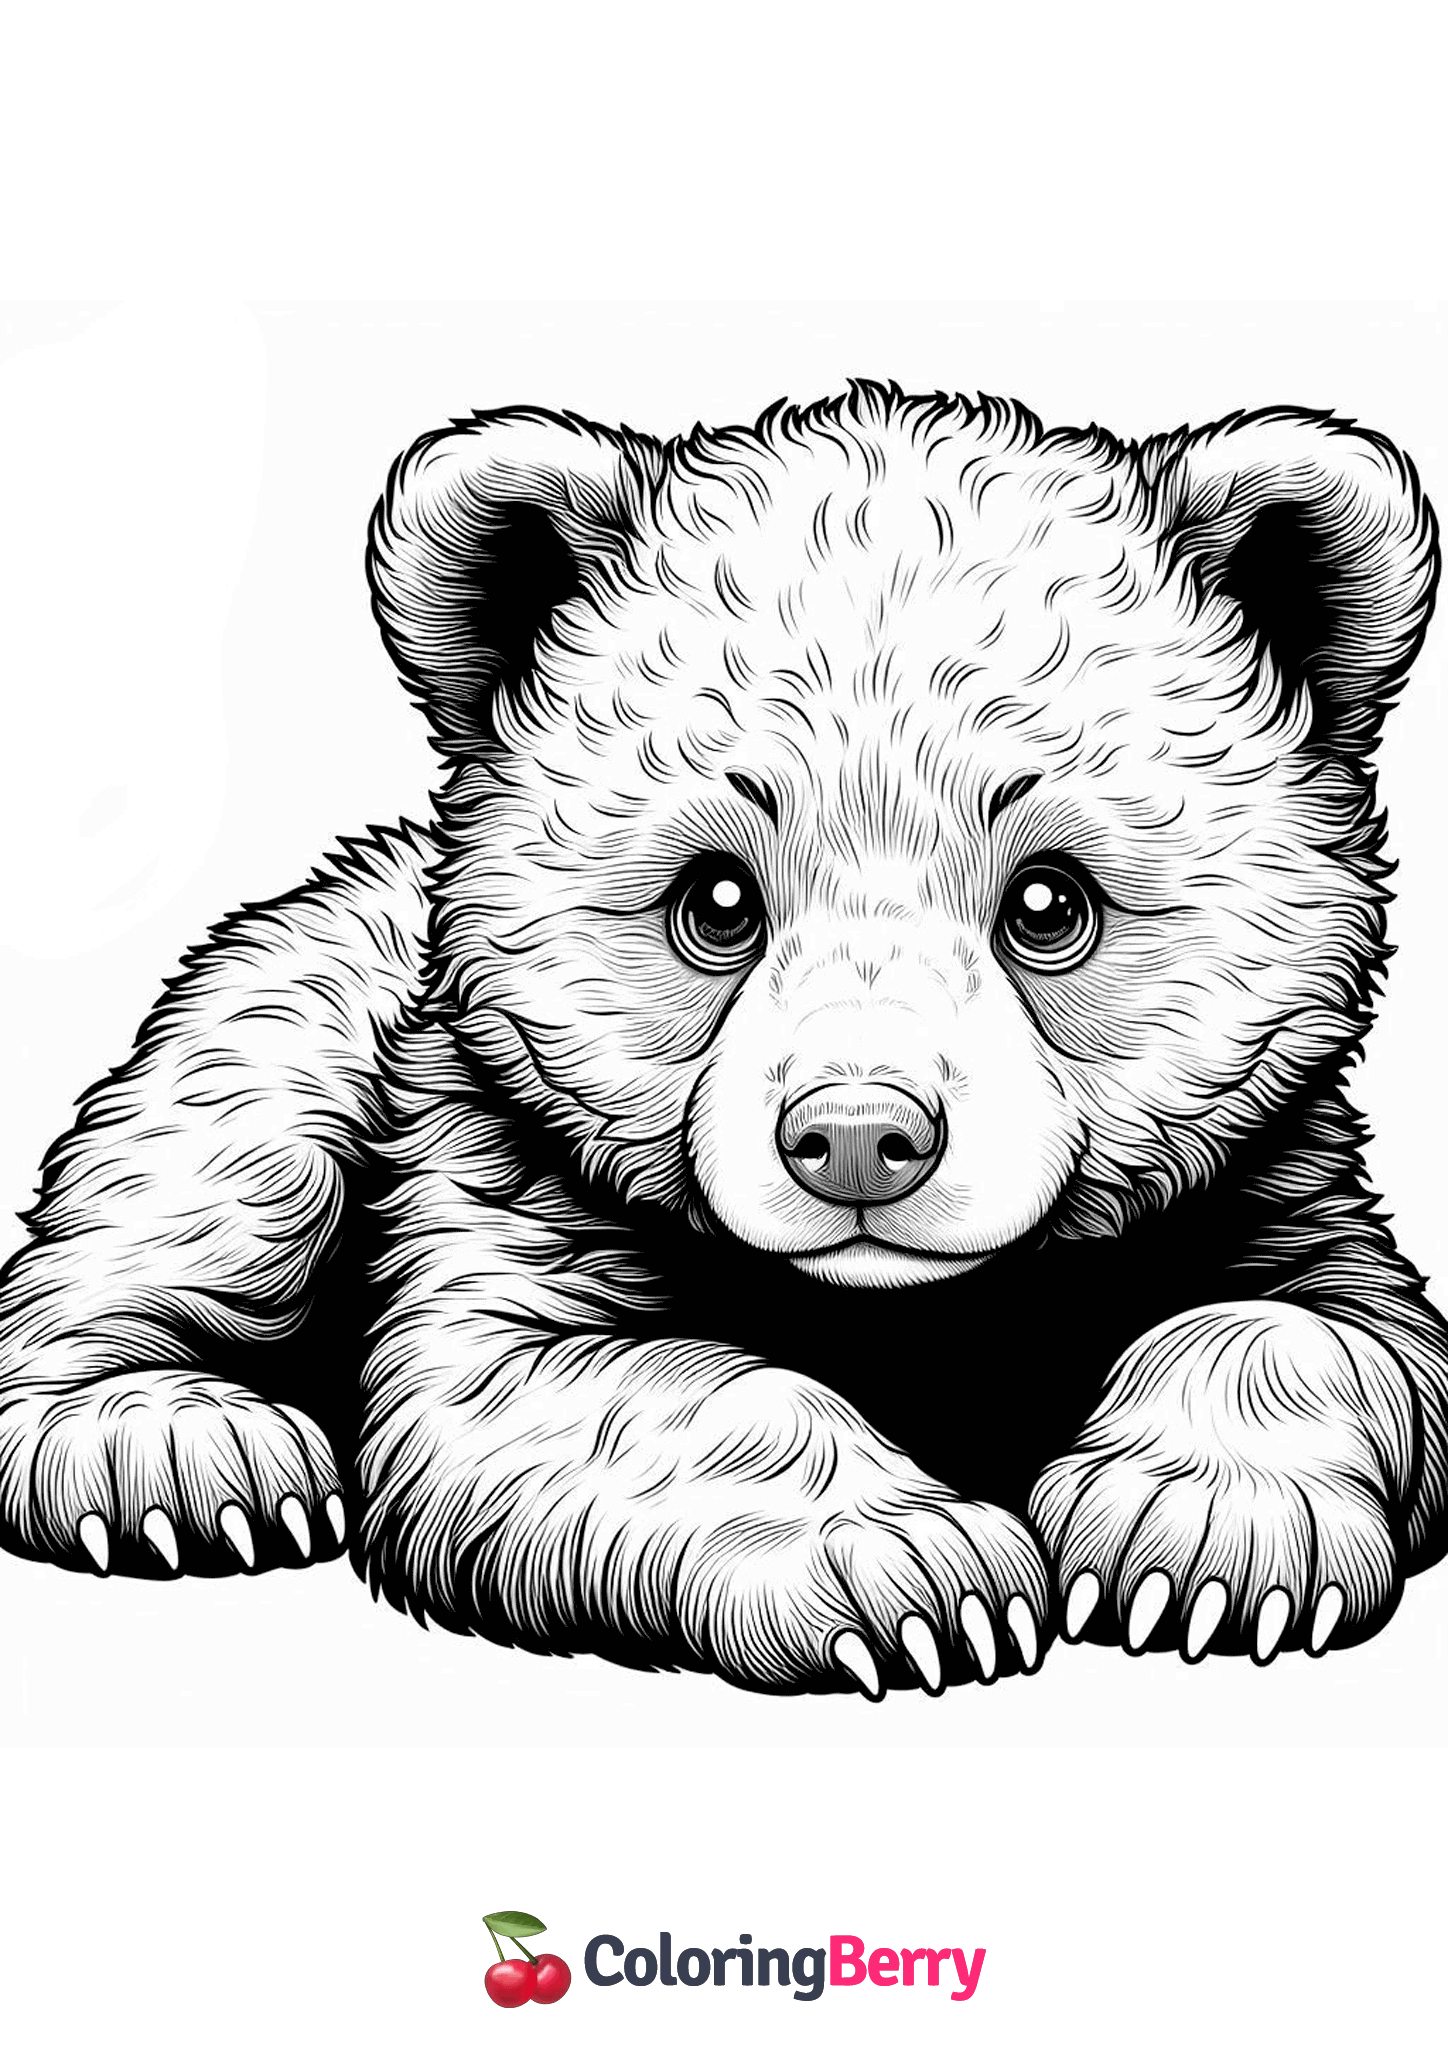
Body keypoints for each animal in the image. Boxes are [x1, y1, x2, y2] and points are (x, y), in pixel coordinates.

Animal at [0, 379, 1443, 1700]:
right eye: (717, 899)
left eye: (1048, 900)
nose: (859, 1138)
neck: (912, 1312)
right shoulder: (500, 1170)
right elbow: (554, 1393)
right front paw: (913, 1570)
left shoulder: (1266, 1186)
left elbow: (1327, 1332)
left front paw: (1199, 1540)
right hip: (300, 1027)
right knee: (198, 1187)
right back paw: (176, 1449)